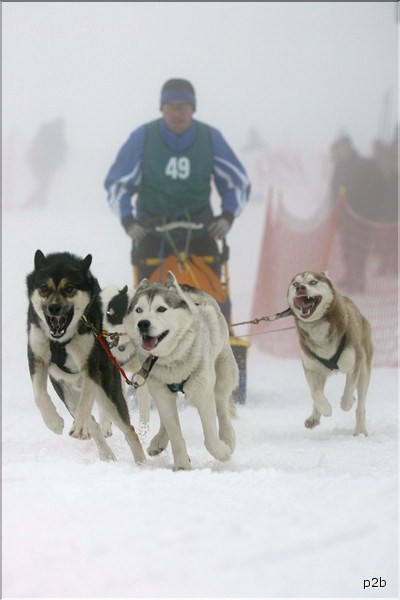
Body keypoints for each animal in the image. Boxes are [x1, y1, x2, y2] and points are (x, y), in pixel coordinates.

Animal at [26, 250, 145, 464]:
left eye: (69, 289)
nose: (53, 308)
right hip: (67, 393)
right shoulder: (37, 357)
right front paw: (53, 422)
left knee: (128, 430)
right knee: (93, 423)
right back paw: (105, 454)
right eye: (44, 288)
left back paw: (142, 463)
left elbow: (86, 401)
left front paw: (80, 426)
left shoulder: (91, 365)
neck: (61, 341)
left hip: (108, 392)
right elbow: (39, 395)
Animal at [125, 270, 238, 472]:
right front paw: (182, 466)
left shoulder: (202, 394)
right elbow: (174, 432)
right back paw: (159, 441)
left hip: (223, 374)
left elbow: (210, 440)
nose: (143, 324)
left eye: (161, 309)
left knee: (222, 405)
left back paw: (227, 438)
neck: (171, 359)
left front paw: (222, 452)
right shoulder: (161, 392)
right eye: (138, 310)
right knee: (166, 419)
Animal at [288, 272, 372, 436]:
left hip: (364, 369)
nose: (300, 288)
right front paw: (325, 409)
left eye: (313, 282)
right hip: (321, 372)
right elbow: (315, 393)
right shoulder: (310, 368)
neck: (318, 327)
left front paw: (348, 401)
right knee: (318, 392)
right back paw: (314, 418)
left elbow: (348, 393)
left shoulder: (354, 365)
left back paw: (360, 430)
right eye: (295, 284)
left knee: (361, 404)